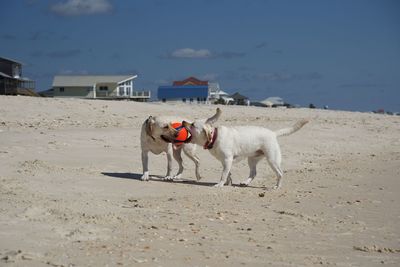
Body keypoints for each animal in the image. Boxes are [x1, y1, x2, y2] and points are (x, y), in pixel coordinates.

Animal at [181, 108, 310, 188]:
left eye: (192, 124)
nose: (183, 121)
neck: (214, 137)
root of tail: (273, 133)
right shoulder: (225, 162)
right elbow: (228, 173)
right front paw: (228, 183)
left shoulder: (227, 160)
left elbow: (223, 174)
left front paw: (220, 184)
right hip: (252, 159)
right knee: (254, 173)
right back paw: (245, 182)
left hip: (272, 159)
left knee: (280, 173)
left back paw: (277, 186)